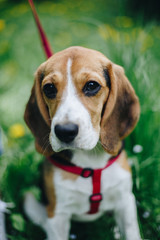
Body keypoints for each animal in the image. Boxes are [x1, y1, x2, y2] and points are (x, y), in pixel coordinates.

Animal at [23, 46, 140, 239]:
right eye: (49, 88)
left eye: (92, 86)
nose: (65, 131)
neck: (91, 163)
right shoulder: (57, 215)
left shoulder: (125, 201)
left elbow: (132, 232)